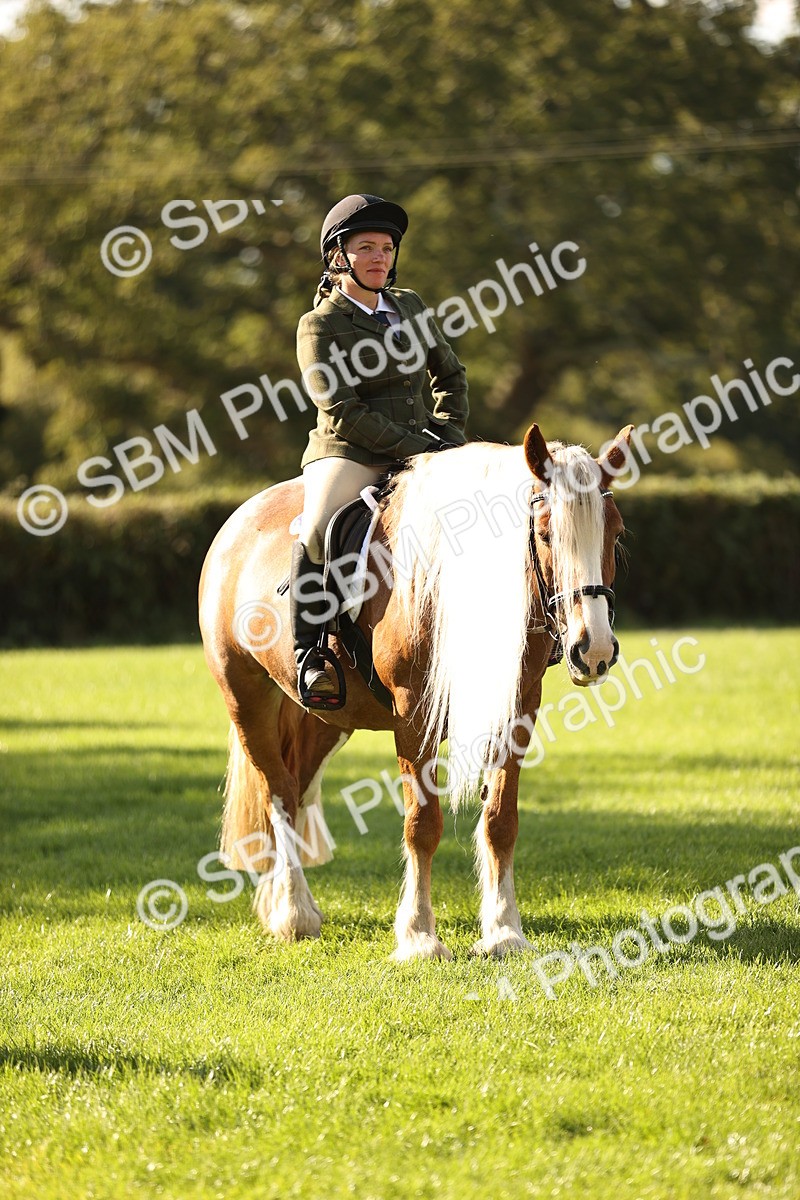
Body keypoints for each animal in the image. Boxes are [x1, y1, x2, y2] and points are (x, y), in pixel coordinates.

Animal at [199, 422, 633, 960]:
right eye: (545, 532)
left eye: (615, 533)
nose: (593, 650)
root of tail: (239, 522)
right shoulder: (413, 714)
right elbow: (422, 824)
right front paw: (420, 936)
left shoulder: (518, 711)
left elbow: (500, 821)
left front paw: (504, 931)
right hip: (247, 698)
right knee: (278, 793)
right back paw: (295, 915)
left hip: (326, 720)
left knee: (296, 788)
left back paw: (286, 904)